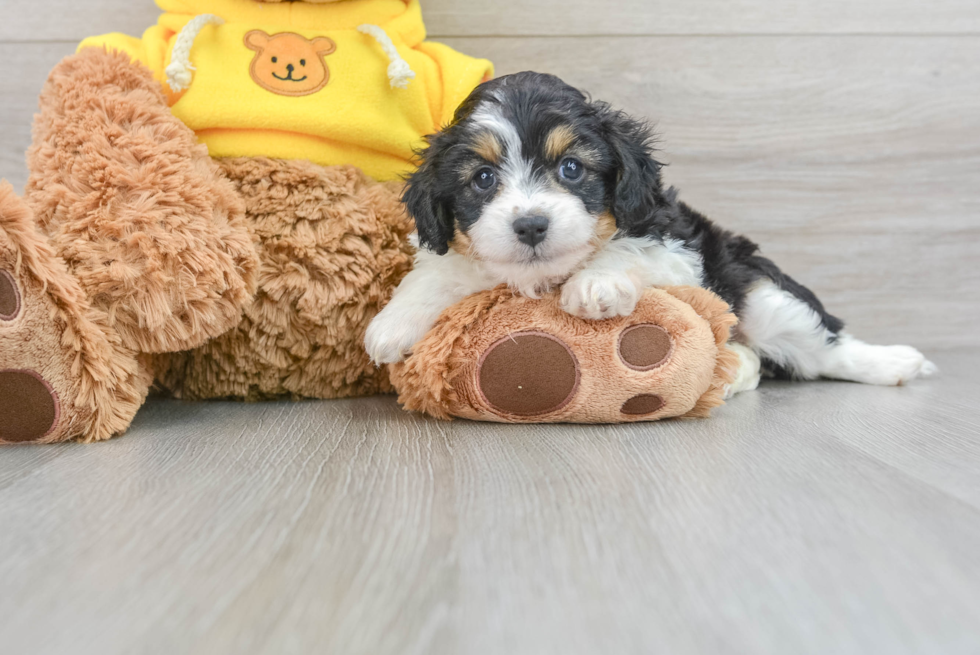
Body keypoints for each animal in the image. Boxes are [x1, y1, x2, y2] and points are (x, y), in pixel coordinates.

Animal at [366, 70, 936, 394]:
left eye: (571, 168)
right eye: (482, 179)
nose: (530, 224)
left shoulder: (677, 247)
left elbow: (628, 249)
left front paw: (595, 285)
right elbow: (437, 271)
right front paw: (391, 325)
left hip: (763, 298)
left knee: (824, 346)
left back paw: (894, 363)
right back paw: (734, 372)